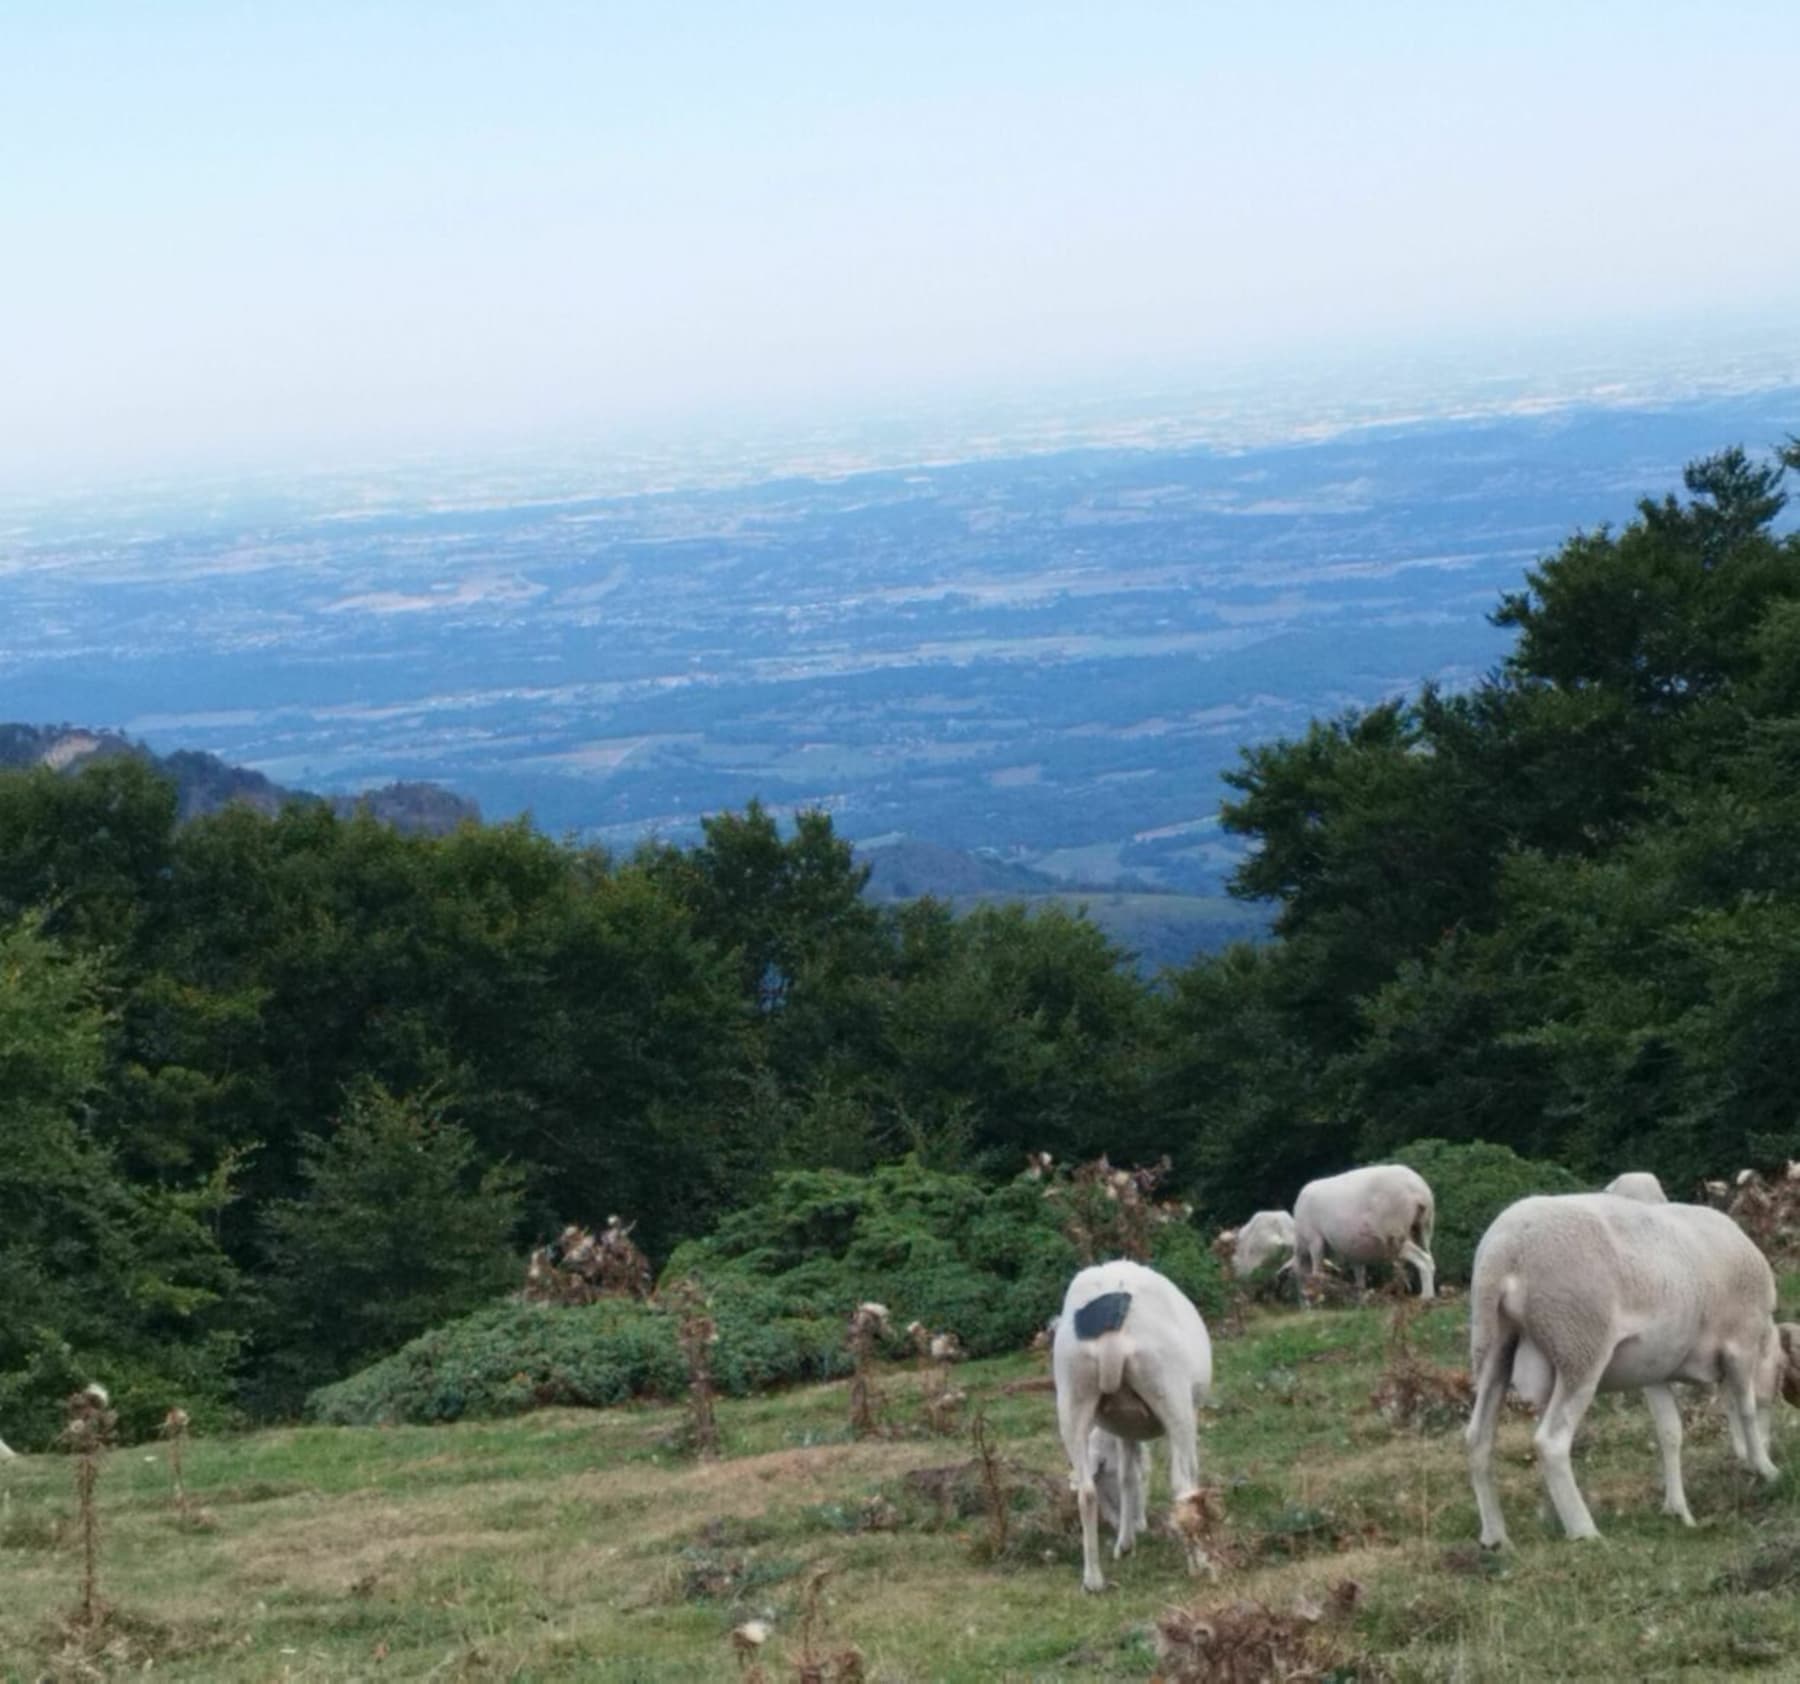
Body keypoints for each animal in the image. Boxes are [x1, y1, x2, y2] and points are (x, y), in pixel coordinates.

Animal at [1051, 1266, 1216, 1590]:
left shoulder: (1124, 1427)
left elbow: (1129, 1476)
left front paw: (1125, 1543)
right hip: (1171, 1391)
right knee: (1182, 1486)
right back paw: (1198, 1565)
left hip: (1072, 1394)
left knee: (1086, 1492)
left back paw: (1093, 1580)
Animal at [1296, 1165, 1432, 1295]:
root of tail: (1419, 1189)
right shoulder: (1354, 1251)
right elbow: (1359, 1277)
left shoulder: (1314, 1239)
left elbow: (1317, 1271)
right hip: (1423, 1228)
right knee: (1426, 1257)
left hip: (1395, 1233)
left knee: (1425, 1260)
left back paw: (1425, 1297)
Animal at [1461, 1187, 1800, 1547]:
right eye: (1780, 1377)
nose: (1767, 1450)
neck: (1762, 1340)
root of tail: (1505, 1252)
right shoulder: (1740, 1345)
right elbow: (1746, 1410)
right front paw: (1765, 1467)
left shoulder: (1654, 1371)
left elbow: (1670, 1433)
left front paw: (1678, 1509)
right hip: (1579, 1345)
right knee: (1551, 1442)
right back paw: (1584, 1530)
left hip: (1493, 1346)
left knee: (1478, 1438)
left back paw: (1496, 1536)